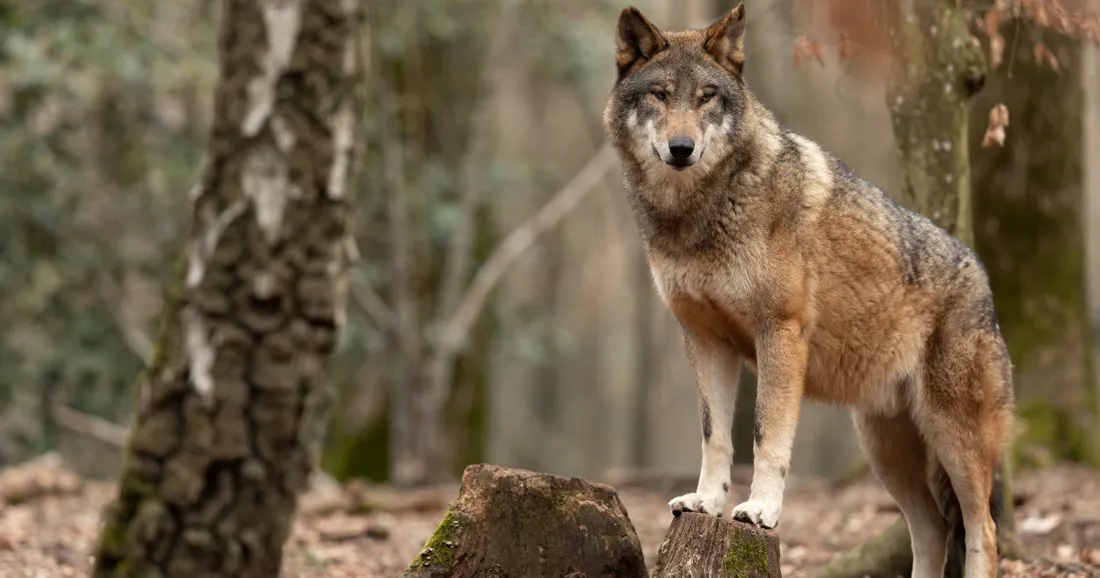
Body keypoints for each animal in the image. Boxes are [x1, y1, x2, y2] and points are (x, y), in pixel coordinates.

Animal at [602, 5, 1016, 578]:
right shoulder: (704, 340)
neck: (698, 214)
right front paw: (705, 502)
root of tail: (982, 275)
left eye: (706, 97)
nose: (681, 149)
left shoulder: (779, 332)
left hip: (954, 440)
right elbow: (715, 436)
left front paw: (759, 510)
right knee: (932, 531)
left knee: (983, 532)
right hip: (885, 450)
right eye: (660, 95)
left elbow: (766, 436)